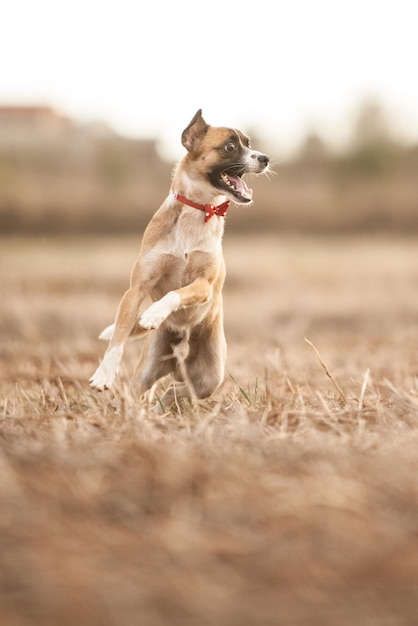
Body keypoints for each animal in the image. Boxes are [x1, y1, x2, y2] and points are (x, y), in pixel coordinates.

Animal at [89, 109, 270, 404]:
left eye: (249, 143)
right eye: (230, 147)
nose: (265, 158)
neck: (198, 209)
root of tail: (179, 357)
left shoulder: (204, 285)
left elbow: (176, 293)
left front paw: (154, 313)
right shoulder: (136, 289)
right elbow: (118, 336)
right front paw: (104, 373)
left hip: (210, 375)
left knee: (178, 390)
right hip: (147, 369)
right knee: (142, 390)